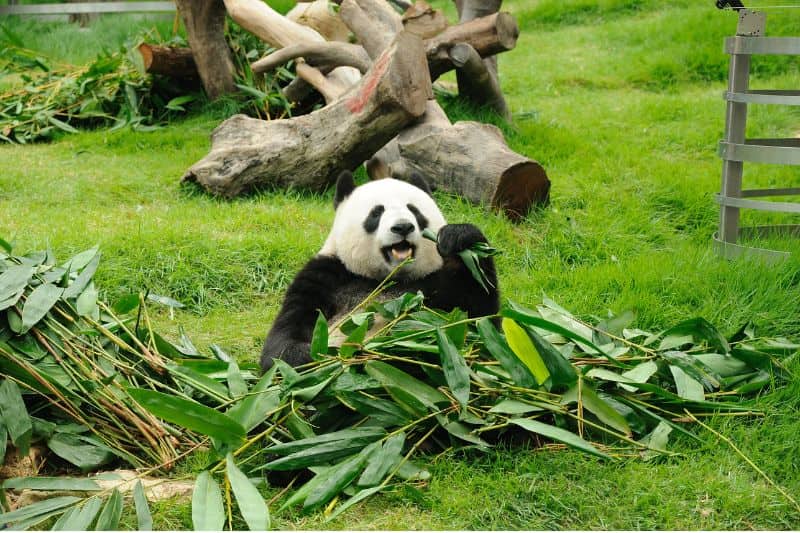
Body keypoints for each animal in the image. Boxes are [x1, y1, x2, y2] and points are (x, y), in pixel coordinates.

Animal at [260, 170, 499, 370]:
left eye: (414, 210)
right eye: (376, 213)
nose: (403, 227)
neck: (389, 278)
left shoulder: (439, 285)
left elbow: (480, 325)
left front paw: (460, 238)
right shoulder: (327, 277)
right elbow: (282, 346)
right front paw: (325, 356)